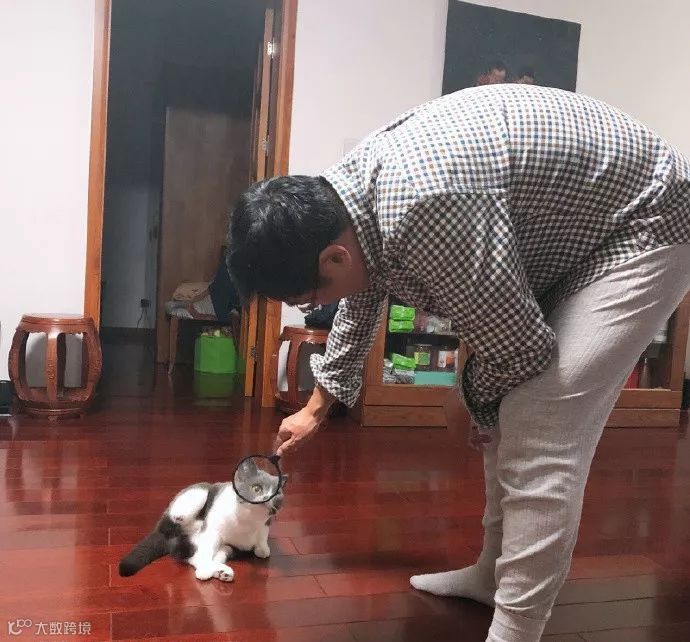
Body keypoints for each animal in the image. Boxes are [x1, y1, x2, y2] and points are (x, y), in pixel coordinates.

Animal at [118, 458, 286, 582]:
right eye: (256, 488)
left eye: (276, 493)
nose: (267, 497)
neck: (248, 518)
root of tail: (162, 530)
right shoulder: (212, 530)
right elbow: (205, 552)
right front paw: (205, 571)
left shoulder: (265, 524)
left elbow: (262, 539)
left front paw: (262, 548)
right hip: (199, 493)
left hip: (225, 547)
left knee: (198, 554)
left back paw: (222, 572)